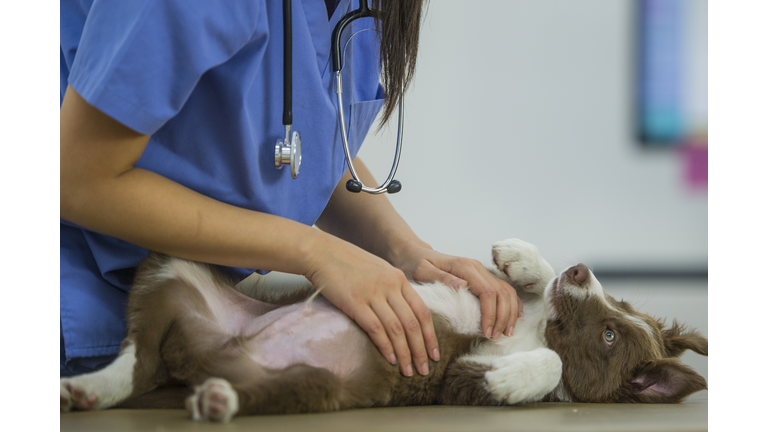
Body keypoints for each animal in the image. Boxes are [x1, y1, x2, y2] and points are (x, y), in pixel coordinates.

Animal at [60, 238, 708, 420]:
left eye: (609, 337)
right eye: (617, 304)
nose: (582, 270)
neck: (533, 329)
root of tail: (200, 361)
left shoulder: (455, 381)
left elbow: (547, 365)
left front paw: (514, 380)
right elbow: (520, 283)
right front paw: (520, 257)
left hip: (311, 385)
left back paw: (216, 401)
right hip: (176, 266)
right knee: (136, 356)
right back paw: (88, 387)